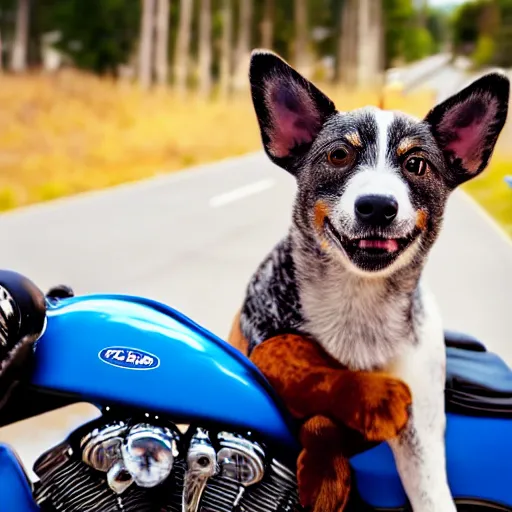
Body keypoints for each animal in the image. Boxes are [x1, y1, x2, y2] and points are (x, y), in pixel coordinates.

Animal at [230, 49, 510, 512]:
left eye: (416, 164)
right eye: (339, 155)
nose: (377, 205)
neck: (357, 300)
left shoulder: (421, 438)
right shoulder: (259, 343)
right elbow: (293, 360)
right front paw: (365, 410)